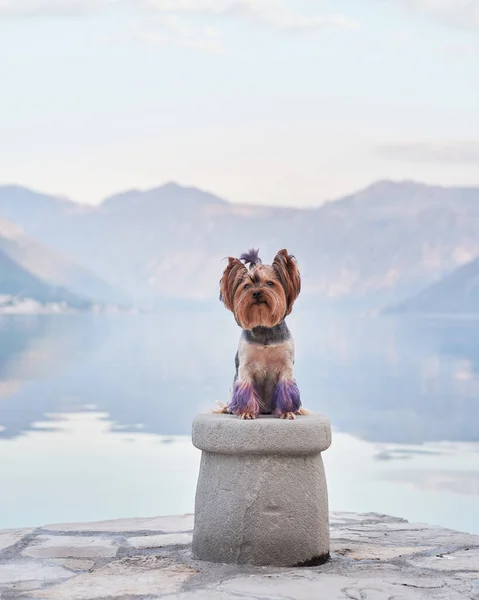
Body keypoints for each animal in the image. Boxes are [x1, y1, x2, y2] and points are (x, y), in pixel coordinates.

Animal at [215, 246, 308, 420]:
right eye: (246, 286)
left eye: (270, 283)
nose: (257, 292)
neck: (264, 326)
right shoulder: (245, 366)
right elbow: (245, 386)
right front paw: (246, 412)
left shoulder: (286, 365)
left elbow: (286, 387)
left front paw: (287, 412)